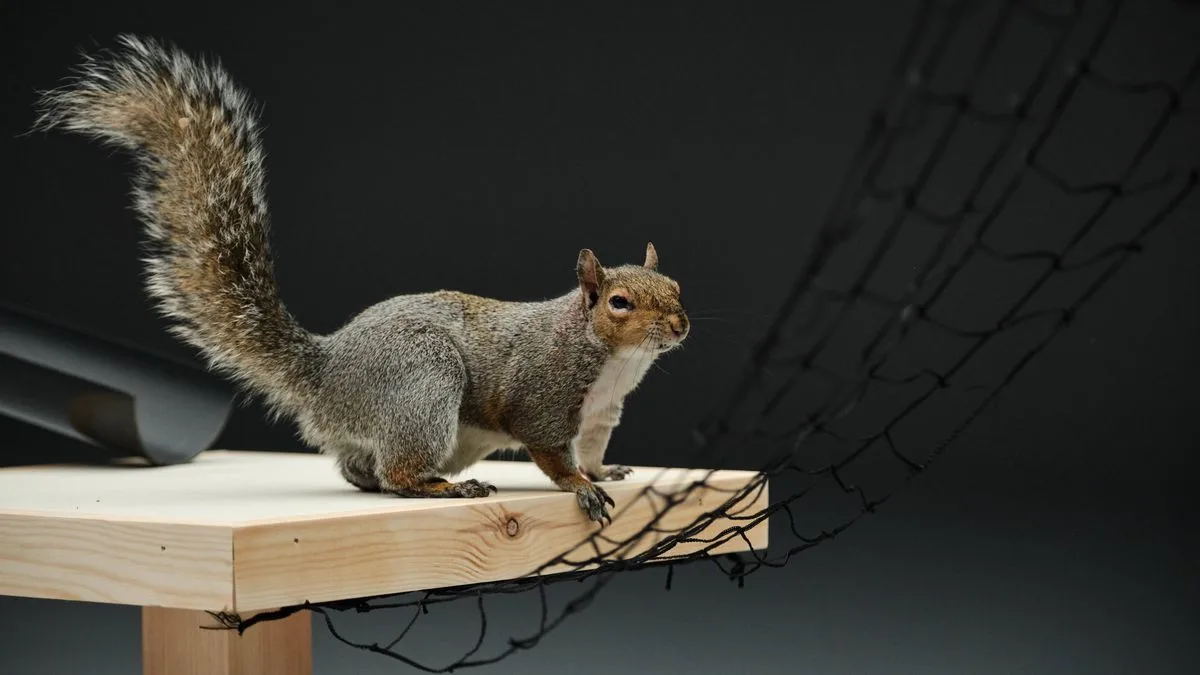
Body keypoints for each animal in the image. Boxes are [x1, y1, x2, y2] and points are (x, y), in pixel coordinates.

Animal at [31, 35, 690, 524]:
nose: (680, 326)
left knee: (359, 469)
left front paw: (604, 472)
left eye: (679, 290)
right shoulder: (543, 395)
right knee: (396, 473)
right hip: (422, 381)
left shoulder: (601, 414)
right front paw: (580, 487)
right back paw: (443, 487)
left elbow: (593, 449)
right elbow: (552, 453)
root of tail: (325, 375)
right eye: (619, 303)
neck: (611, 359)